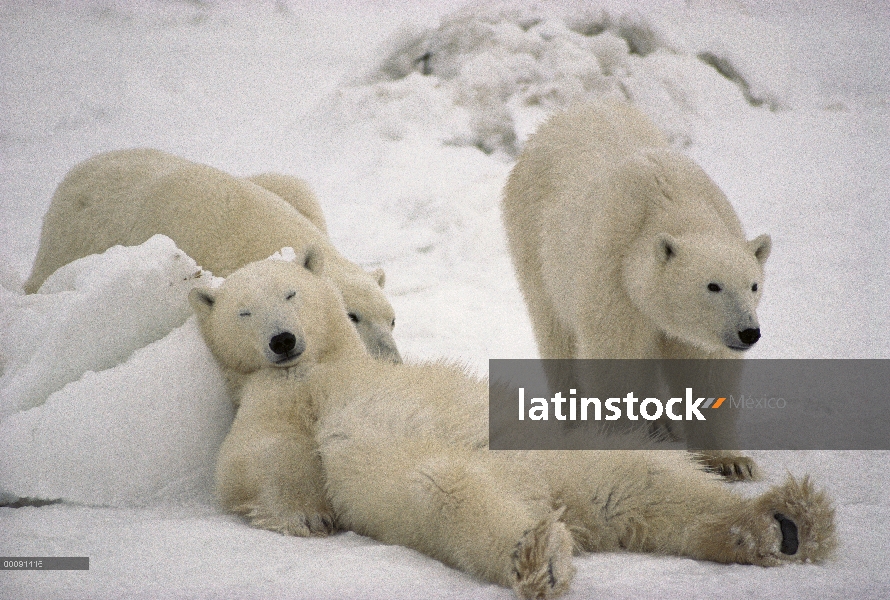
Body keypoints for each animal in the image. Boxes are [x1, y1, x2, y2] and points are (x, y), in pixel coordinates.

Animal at [189, 258, 832, 600]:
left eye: (291, 292)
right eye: (244, 310)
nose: (282, 339)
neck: (325, 362)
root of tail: (555, 499)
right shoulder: (282, 395)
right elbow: (258, 456)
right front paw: (306, 517)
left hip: (571, 453)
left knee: (646, 482)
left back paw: (782, 523)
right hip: (426, 479)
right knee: (450, 495)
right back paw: (539, 555)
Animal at [500, 102, 772, 478]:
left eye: (753, 285)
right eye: (713, 286)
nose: (748, 332)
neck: (675, 204)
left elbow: (707, 370)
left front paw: (732, 462)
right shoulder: (614, 277)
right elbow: (617, 359)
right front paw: (624, 447)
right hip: (536, 247)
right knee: (556, 335)